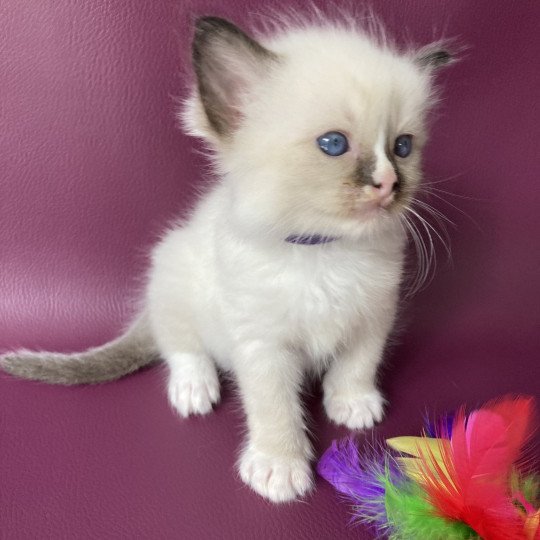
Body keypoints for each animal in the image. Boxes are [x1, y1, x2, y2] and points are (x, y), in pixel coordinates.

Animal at [2, 13, 454, 502]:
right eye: (334, 144)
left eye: (403, 147)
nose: (389, 183)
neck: (324, 250)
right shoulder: (262, 344)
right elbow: (274, 407)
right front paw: (279, 468)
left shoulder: (373, 316)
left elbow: (357, 365)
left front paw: (352, 404)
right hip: (173, 271)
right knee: (179, 345)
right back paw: (193, 389)